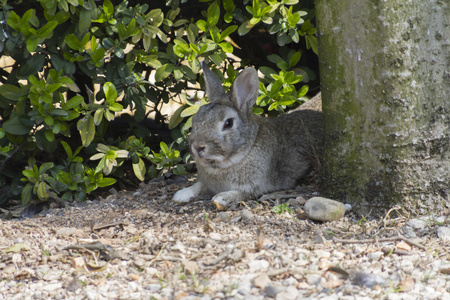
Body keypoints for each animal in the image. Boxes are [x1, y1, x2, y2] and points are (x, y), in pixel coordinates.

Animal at [173, 62, 324, 210]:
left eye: (228, 123)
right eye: (195, 119)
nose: (198, 147)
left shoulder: (257, 186)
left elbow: (241, 193)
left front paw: (221, 198)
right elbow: (199, 185)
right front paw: (181, 194)